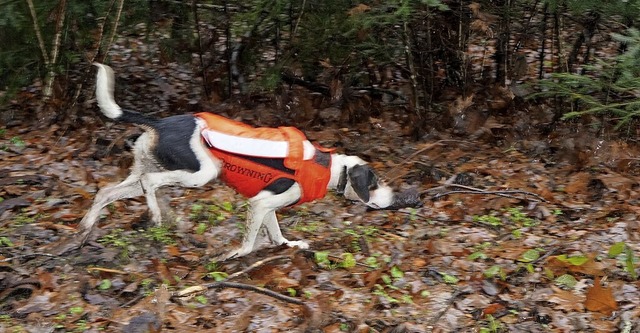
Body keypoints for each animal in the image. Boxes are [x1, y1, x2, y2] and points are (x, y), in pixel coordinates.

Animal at [77, 63, 408, 258]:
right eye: (375, 182)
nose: (397, 198)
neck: (328, 167)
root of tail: (158, 123)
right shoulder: (260, 203)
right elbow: (249, 244)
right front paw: (235, 255)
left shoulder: (267, 206)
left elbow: (277, 235)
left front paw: (289, 245)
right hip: (200, 173)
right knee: (150, 183)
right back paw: (156, 216)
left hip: (146, 170)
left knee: (105, 192)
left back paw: (85, 227)